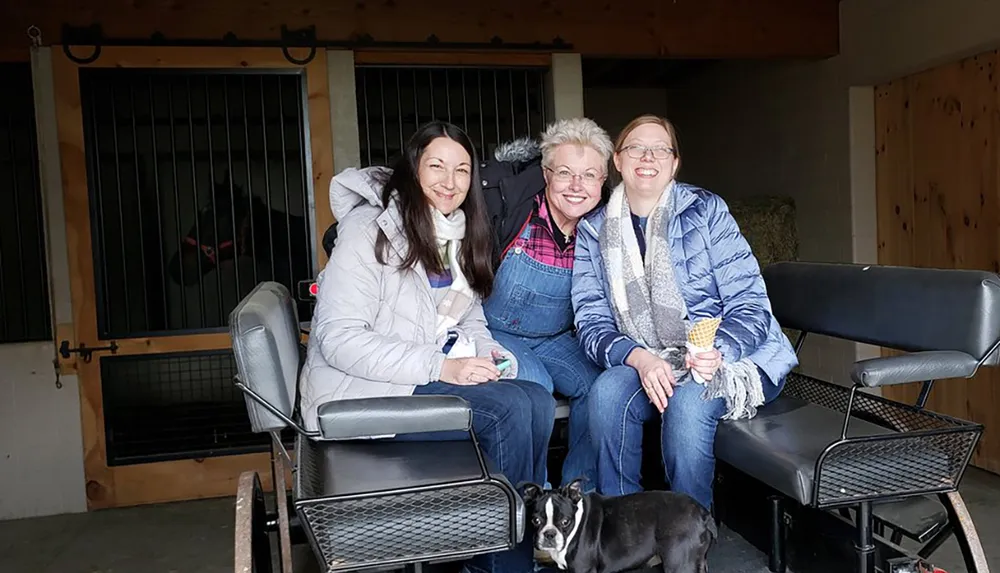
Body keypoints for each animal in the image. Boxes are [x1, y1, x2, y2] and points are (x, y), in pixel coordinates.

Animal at [524, 478, 720, 572]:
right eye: (535, 521)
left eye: (565, 522)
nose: (549, 534)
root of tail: (703, 513)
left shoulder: (583, 569)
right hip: (696, 562)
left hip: (679, 563)